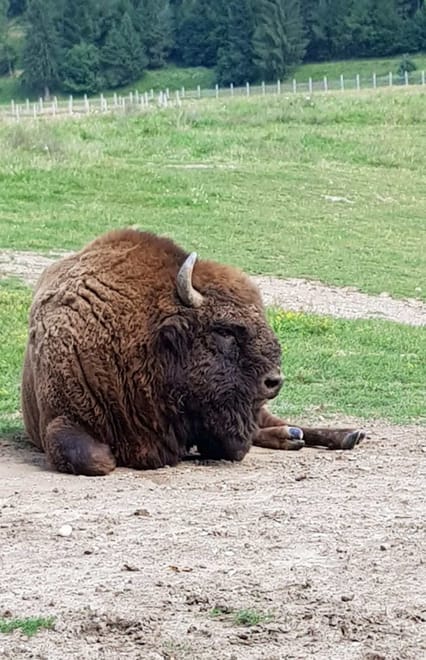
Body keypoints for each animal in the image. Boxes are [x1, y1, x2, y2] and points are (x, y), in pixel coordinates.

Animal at [21, 228, 364, 476]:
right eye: (224, 331)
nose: (274, 381)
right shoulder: (61, 418)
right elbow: (93, 458)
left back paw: (344, 435)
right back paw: (295, 437)